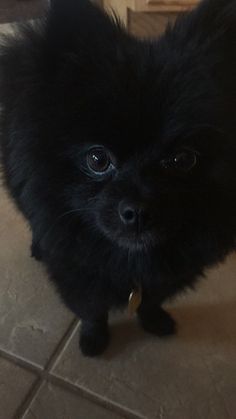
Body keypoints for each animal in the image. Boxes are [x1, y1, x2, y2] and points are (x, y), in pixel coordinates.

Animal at [0, 0, 236, 358]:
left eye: (183, 160)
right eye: (98, 160)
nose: (137, 211)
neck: (130, 260)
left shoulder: (168, 271)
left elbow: (151, 299)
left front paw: (153, 320)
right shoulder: (76, 270)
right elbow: (91, 309)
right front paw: (94, 338)